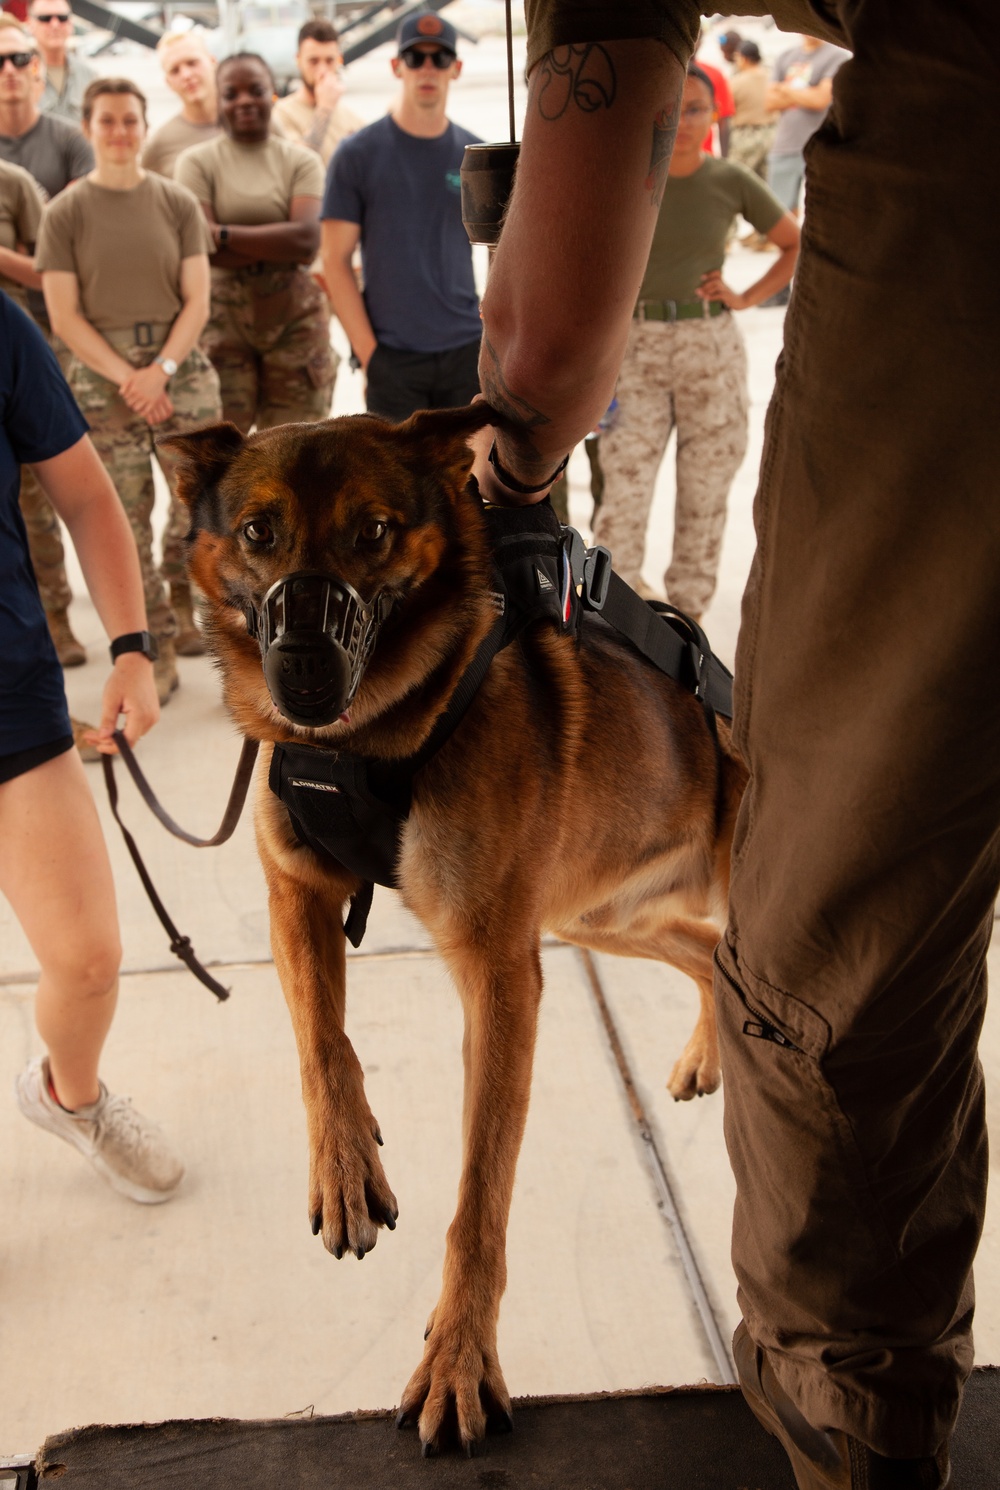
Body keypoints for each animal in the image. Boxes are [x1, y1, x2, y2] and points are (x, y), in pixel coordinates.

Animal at [160, 405, 748, 1454]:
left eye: (375, 532)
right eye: (259, 532)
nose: (304, 672)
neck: (368, 742)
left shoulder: (500, 974)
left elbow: (481, 1197)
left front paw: (460, 1361)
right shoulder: (295, 893)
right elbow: (320, 1040)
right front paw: (346, 1161)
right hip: (596, 913)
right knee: (704, 949)